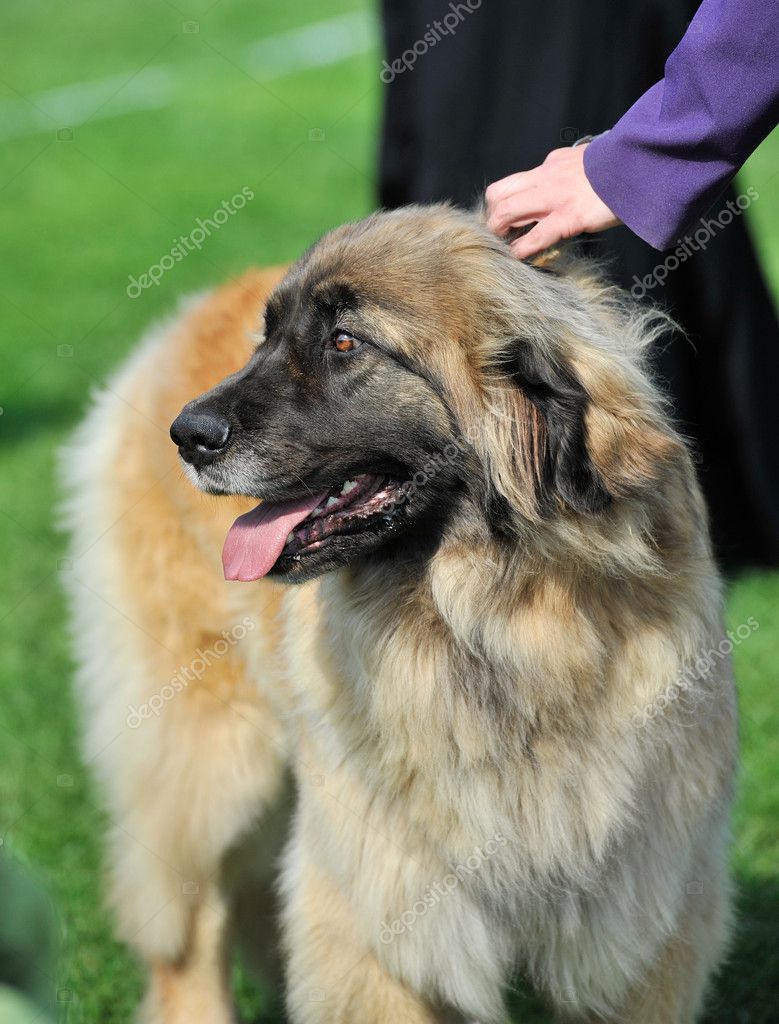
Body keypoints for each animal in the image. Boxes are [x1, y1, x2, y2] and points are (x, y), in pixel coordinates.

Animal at [62, 203, 737, 1019]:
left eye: (344, 343)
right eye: (267, 338)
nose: (187, 434)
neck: (496, 618)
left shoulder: (637, 910)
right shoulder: (384, 902)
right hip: (212, 761)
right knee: (189, 934)